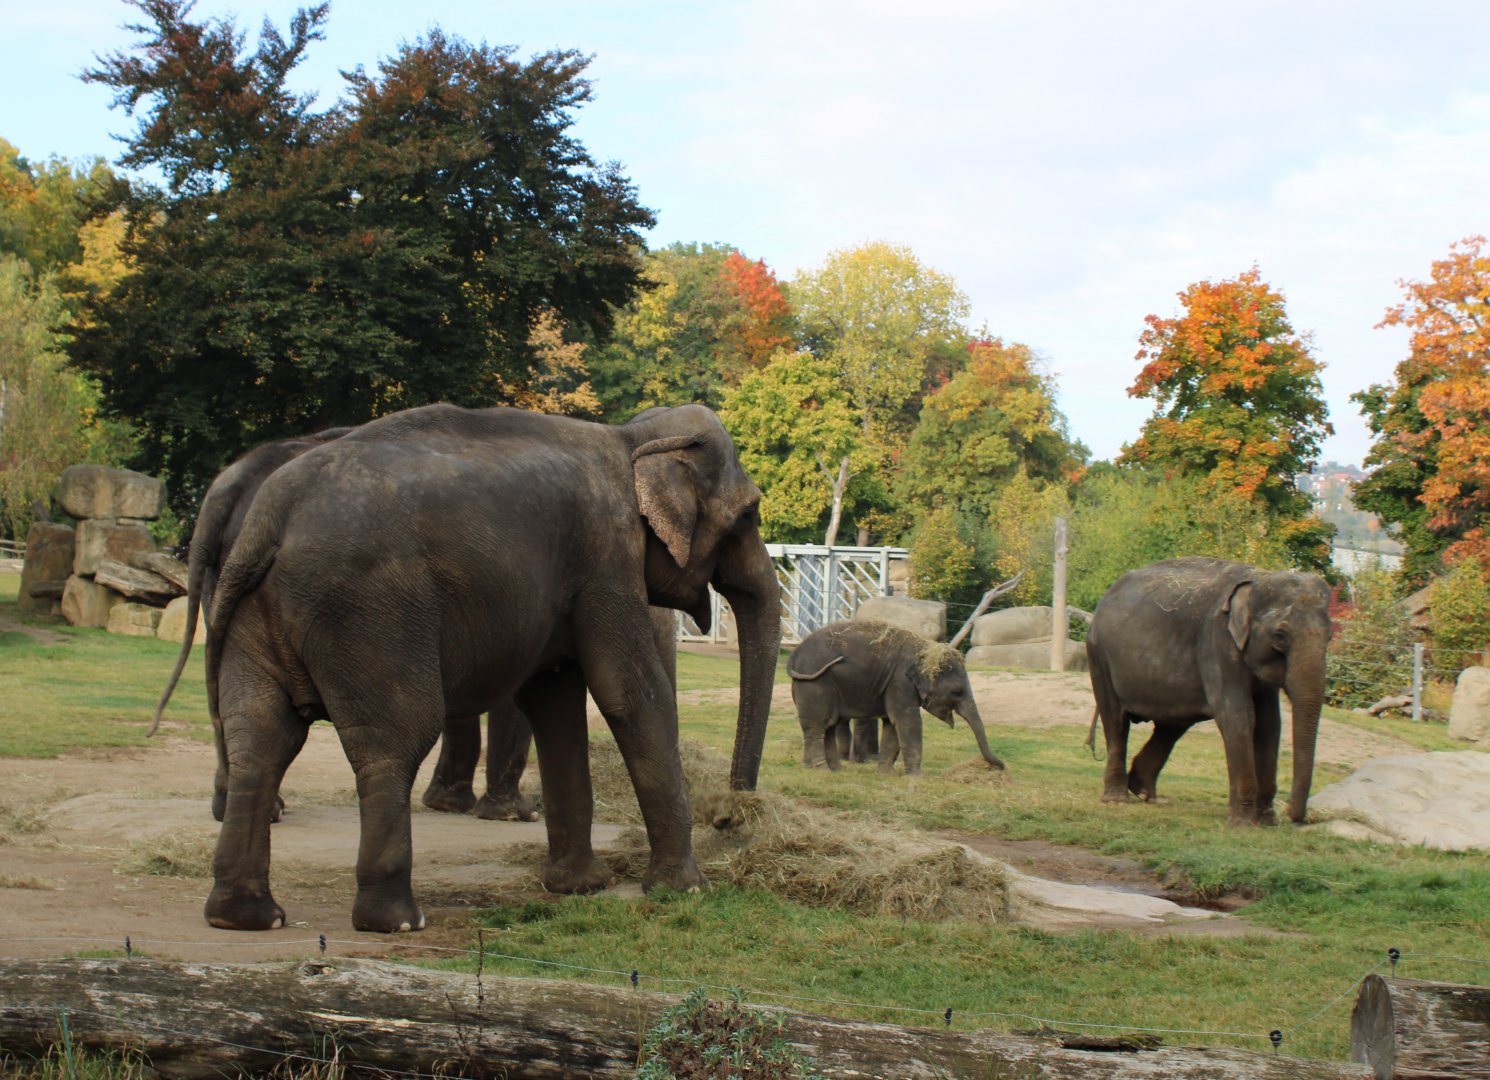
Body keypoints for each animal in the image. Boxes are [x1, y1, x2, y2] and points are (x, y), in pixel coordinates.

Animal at [202, 402, 780, 932]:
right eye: (749, 513)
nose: (728, 815)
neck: (631, 436)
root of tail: (269, 522)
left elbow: (555, 701)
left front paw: (580, 887)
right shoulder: (607, 555)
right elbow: (632, 696)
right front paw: (688, 890)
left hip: (255, 619)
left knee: (262, 739)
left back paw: (247, 917)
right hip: (368, 615)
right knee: (395, 740)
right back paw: (397, 920)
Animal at [787, 620, 1006, 775]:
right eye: (957, 692)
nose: (1002, 766)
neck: (923, 647)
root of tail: (795, 653)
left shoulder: (894, 686)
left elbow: (892, 724)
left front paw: (886, 775)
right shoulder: (900, 682)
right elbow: (907, 721)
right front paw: (917, 778)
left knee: (829, 725)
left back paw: (831, 771)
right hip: (814, 684)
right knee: (817, 726)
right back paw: (822, 770)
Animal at [1084, 556, 1332, 826]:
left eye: (1330, 636)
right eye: (1280, 636)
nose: (1293, 816)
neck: (1260, 577)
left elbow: (1269, 724)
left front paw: (1267, 823)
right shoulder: (1218, 643)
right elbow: (1238, 717)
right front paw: (1243, 825)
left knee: (1171, 725)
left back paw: (1143, 792)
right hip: (1099, 657)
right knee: (1116, 720)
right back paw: (1117, 799)